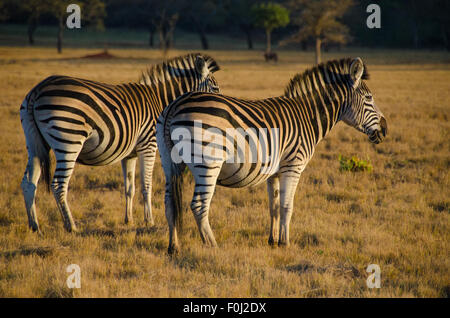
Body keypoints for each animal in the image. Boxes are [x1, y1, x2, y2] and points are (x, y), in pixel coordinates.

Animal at [20, 52, 221, 234]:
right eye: (216, 89)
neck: (160, 101)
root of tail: (38, 89)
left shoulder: (129, 154)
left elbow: (129, 188)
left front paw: (129, 219)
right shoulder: (149, 146)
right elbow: (146, 186)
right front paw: (149, 220)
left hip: (34, 144)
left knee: (29, 182)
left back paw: (34, 226)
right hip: (68, 140)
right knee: (58, 185)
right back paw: (71, 226)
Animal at [157, 57, 386, 253]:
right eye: (369, 98)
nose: (385, 129)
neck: (308, 116)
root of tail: (175, 105)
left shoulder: (274, 171)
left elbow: (274, 206)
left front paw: (273, 241)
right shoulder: (293, 166)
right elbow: (287, 206)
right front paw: (285, 243)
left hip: (169, 162)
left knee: (170, 203)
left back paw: (173, 247)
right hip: (208, 163)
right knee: (198, 205)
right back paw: (213, 246)